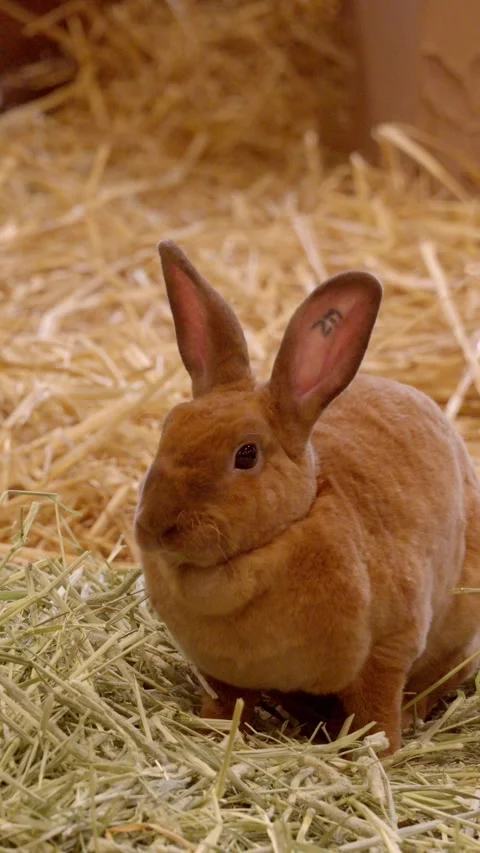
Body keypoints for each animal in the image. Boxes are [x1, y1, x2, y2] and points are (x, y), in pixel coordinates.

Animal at [134, 240, 480, 755]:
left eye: (246, 454)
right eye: (169, 426)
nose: (155, 526)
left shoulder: (387, 649)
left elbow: (377, 710)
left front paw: (378, 752)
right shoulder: (221, 673)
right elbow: (226, 702)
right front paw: (213, 732)